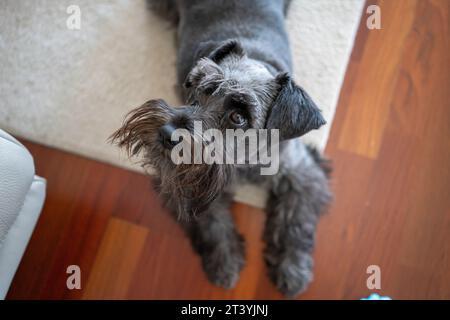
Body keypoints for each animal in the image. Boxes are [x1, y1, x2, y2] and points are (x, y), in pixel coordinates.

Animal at [111, 0, 332, 298]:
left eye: (238, 116)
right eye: (201, 88)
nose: (167, 133)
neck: (247, 159)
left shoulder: (301, 173)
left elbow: (295, 218)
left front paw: (292, 268)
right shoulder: (189, 183)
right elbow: (212, 222)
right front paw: (224, 261)